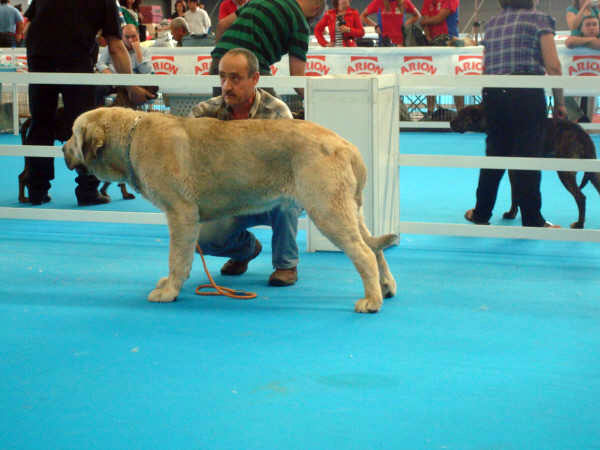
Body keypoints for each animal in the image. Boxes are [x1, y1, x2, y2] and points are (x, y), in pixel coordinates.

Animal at [63, 108, 398, 312]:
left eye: (73, 134)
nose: (62, 148)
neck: (131, 139)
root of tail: (345, 144)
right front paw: (168, 285)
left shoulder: (181, 214)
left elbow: (177, 259)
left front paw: (169, 291)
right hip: (348, 209)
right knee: (375, 247)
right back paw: (386, 287)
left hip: (327, 210)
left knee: (363, 253)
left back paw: (371, 301)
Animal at [450, 104, 600, 229]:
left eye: (462, 115)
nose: (450, 122)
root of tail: (583, 134)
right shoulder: (513, 168)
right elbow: (514, 194)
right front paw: (512, 213)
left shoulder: (514, 169)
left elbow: (514, 194)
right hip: (593, 173)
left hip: (565, 171)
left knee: (581, 197)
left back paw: (579, 224)